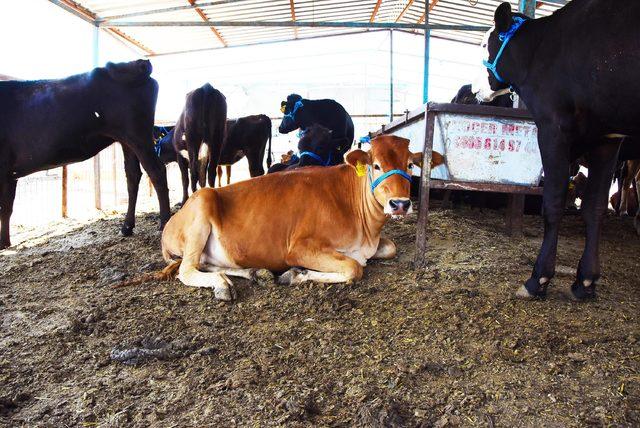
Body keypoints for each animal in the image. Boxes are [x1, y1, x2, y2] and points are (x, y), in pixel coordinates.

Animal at [0, 59, 170, 247]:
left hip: (137, 135)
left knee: (156, 171)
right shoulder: (10, 174)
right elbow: (7, 208)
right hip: (126, 140)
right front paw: (5, 243)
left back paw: (164, 224)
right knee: (133, 175)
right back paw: (126, 227)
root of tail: (137, 64)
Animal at [160, 135, 420, 300]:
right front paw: (296, 274)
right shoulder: (298, 248)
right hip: (202, 205)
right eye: (376, 165)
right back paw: (222, 285)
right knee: (187, 270)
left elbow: (390, 247)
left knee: (206, 264)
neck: (367, 232)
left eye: (410, 165)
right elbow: (354, 268)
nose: (400, 204)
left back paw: (253, 272)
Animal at [484, 0, 640, 300]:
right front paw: (586, 281)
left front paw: (538, 278)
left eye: (486, 43)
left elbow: (553, 202)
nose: (487, 82)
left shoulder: (552, 126)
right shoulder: (608, 138)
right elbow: (594, 206)